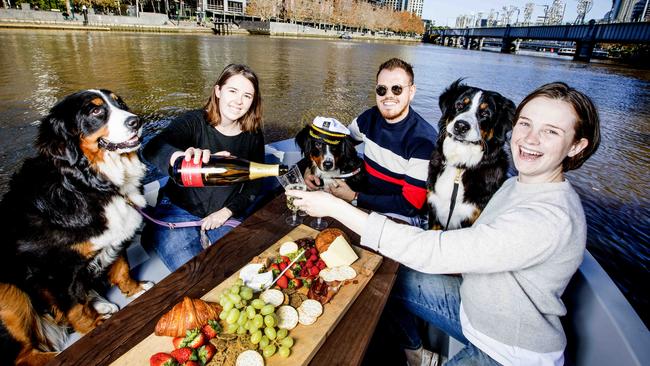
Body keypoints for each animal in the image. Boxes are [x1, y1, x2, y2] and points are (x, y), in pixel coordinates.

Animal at [0, 89, 153, 366]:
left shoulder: (114, 237)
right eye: (95, 111)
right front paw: (95, 329)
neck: (86, 184)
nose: (136, 121)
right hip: (8, 294)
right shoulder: (55, 271)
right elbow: (75, 310)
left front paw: (136, 290)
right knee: (25, 354)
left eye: (119, 103)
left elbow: (122, 269)